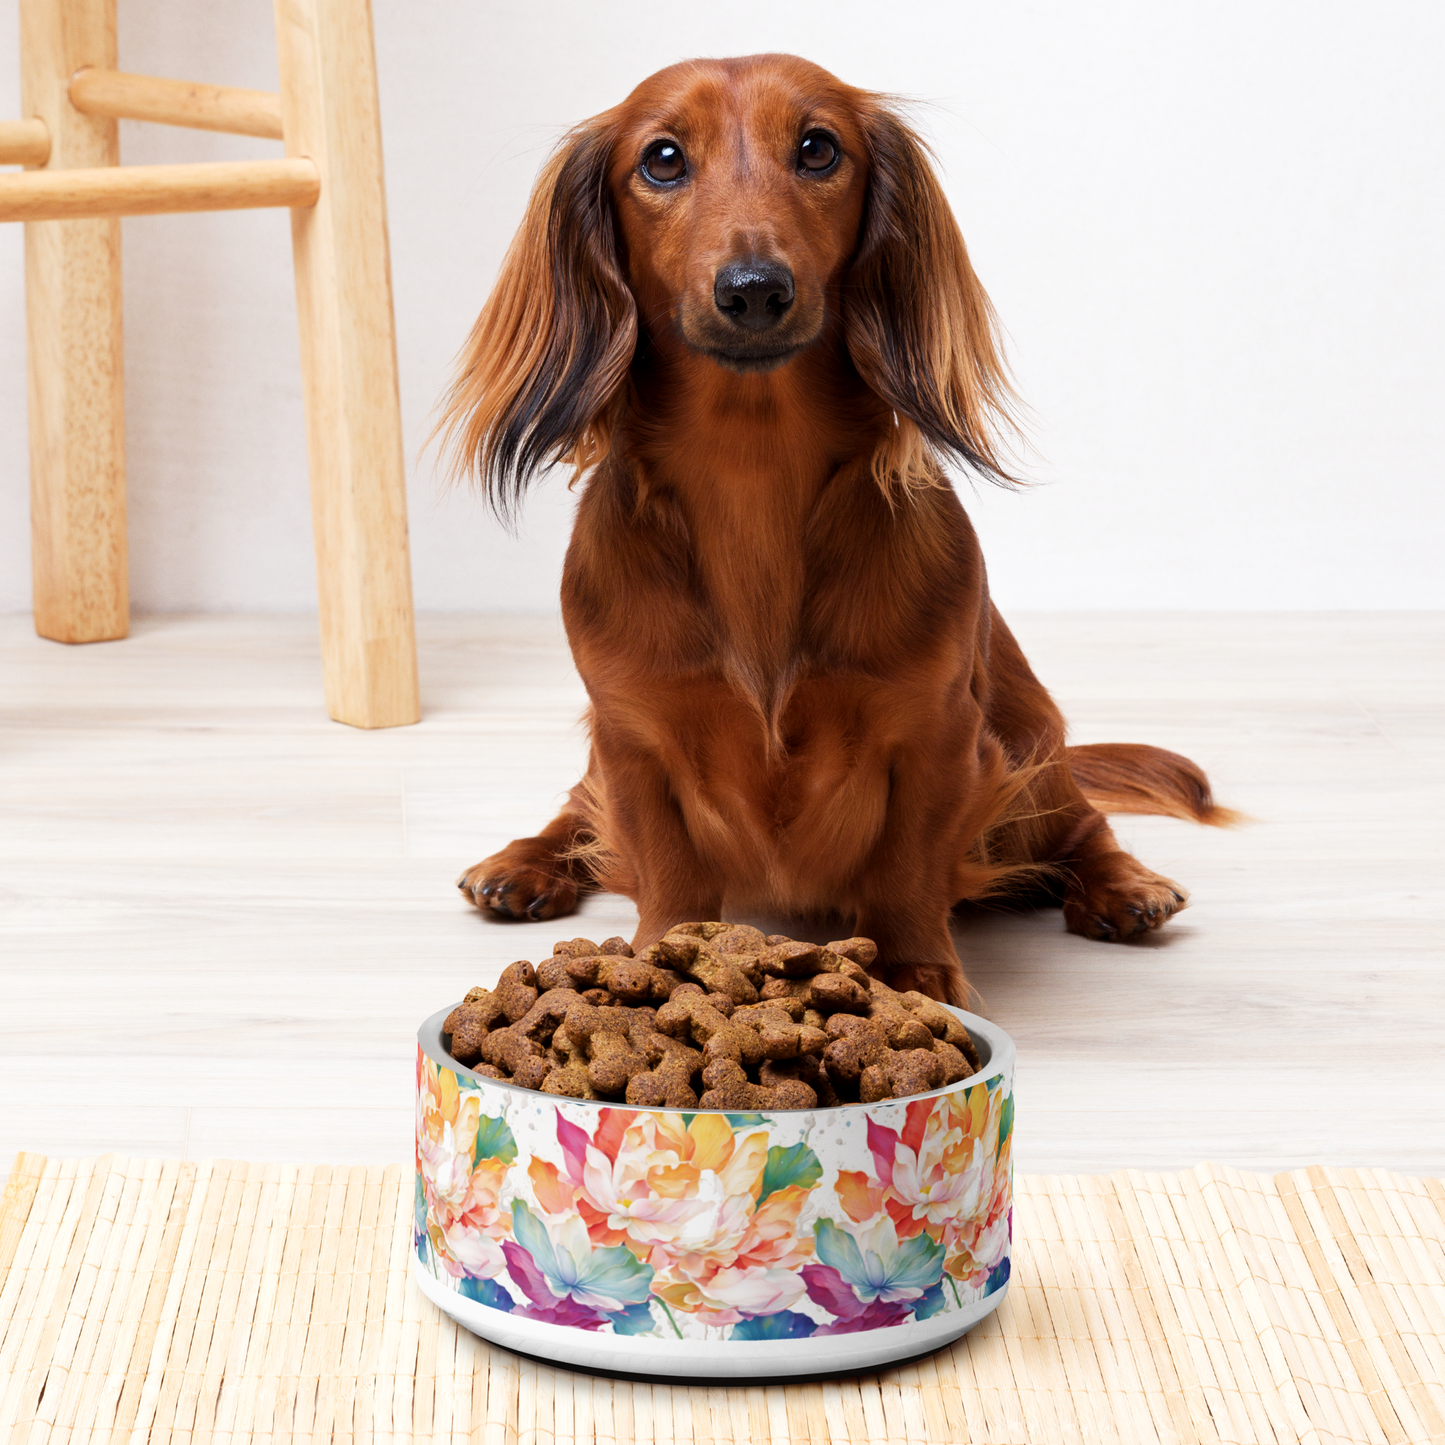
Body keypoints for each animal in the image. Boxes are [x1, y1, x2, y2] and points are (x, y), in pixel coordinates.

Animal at [439, 56, 1231, 1005]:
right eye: (661, 159)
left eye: (818, 148)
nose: (753, 289)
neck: (752, 474)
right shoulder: (632, 735)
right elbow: (664, 864)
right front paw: (661, 958)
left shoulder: (937, 733)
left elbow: (906, 866)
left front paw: (916, 970)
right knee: (576, 810)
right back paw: (523, 863)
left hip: (1027, 745)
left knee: (1081, 823)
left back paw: (1123, 885)